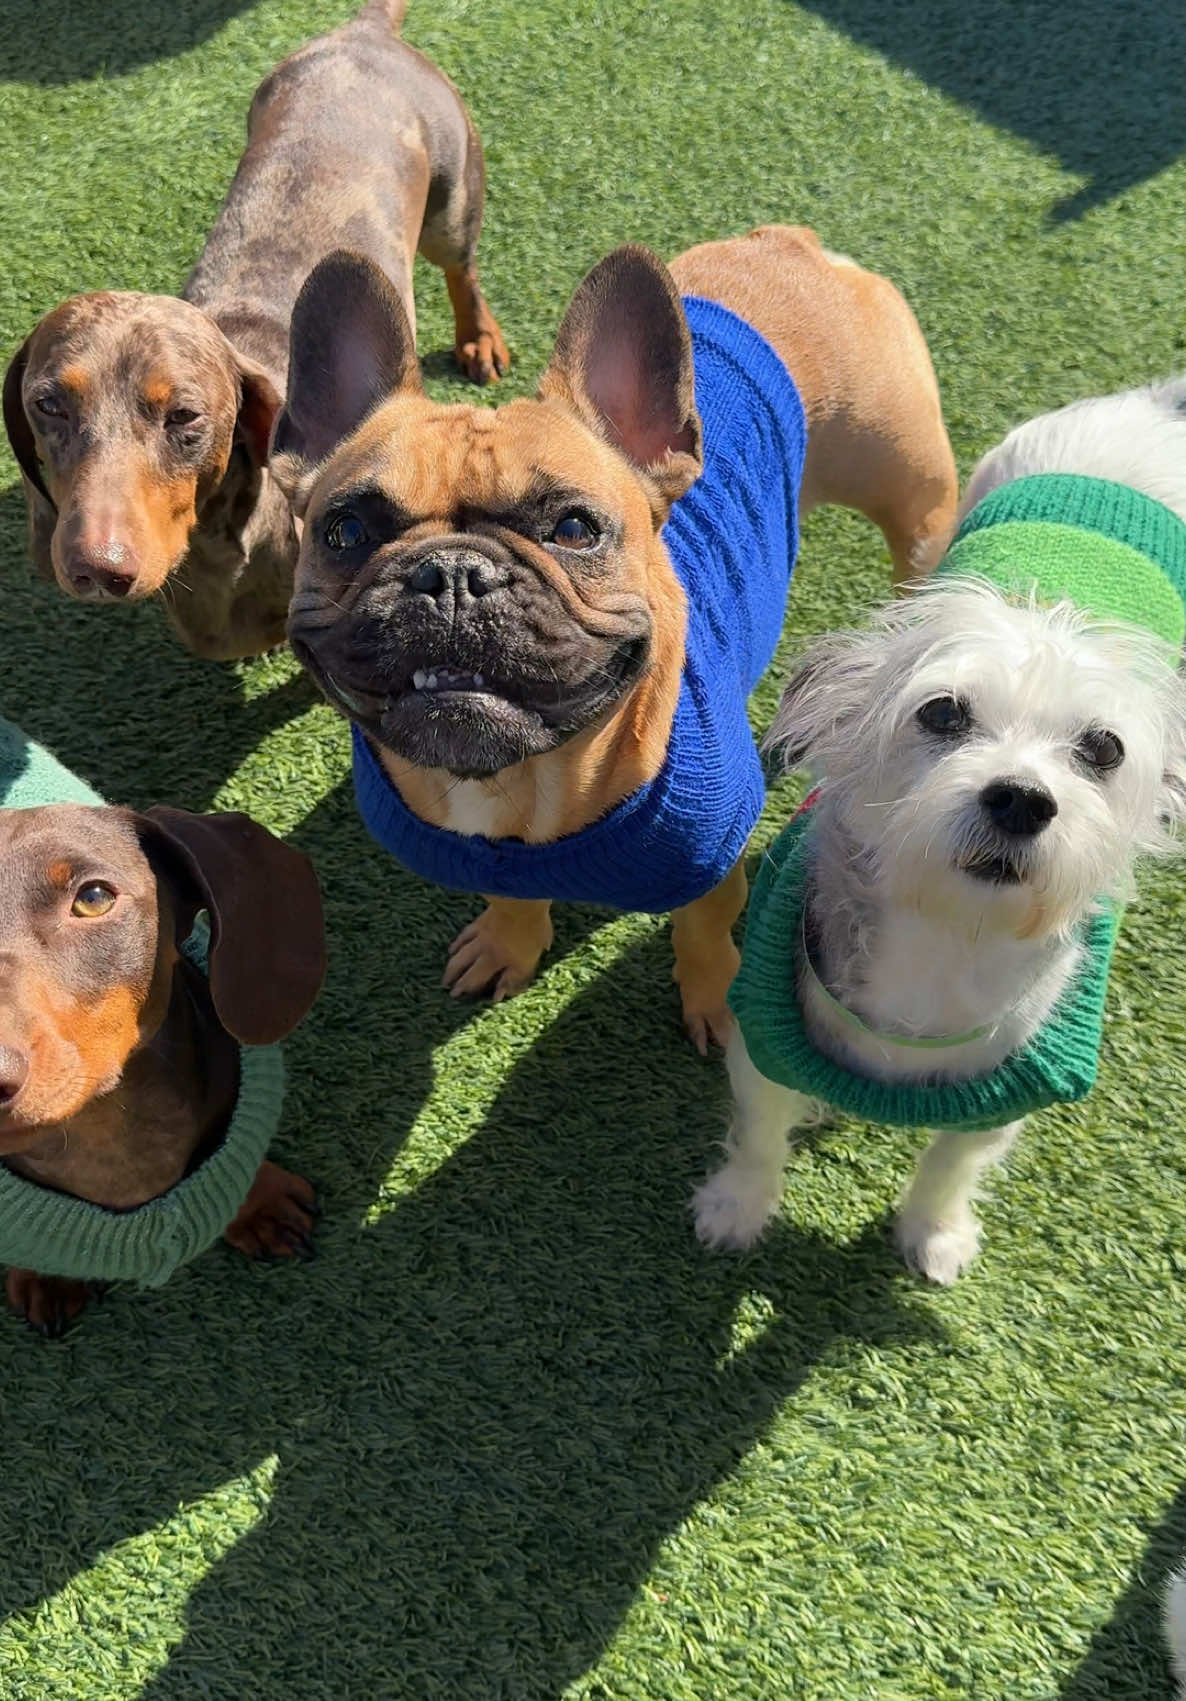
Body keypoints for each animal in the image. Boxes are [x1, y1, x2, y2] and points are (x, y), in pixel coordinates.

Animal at [690, 375, 1184, 1279]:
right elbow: (761, 1131)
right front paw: (736, 1207)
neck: (945, 937)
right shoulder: (764, 1035)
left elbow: (952, 1162)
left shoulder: (1010, 1090)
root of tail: (1152, 404)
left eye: (1103, 748)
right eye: (943, 712)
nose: (1021, 798)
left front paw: (935, 1231)